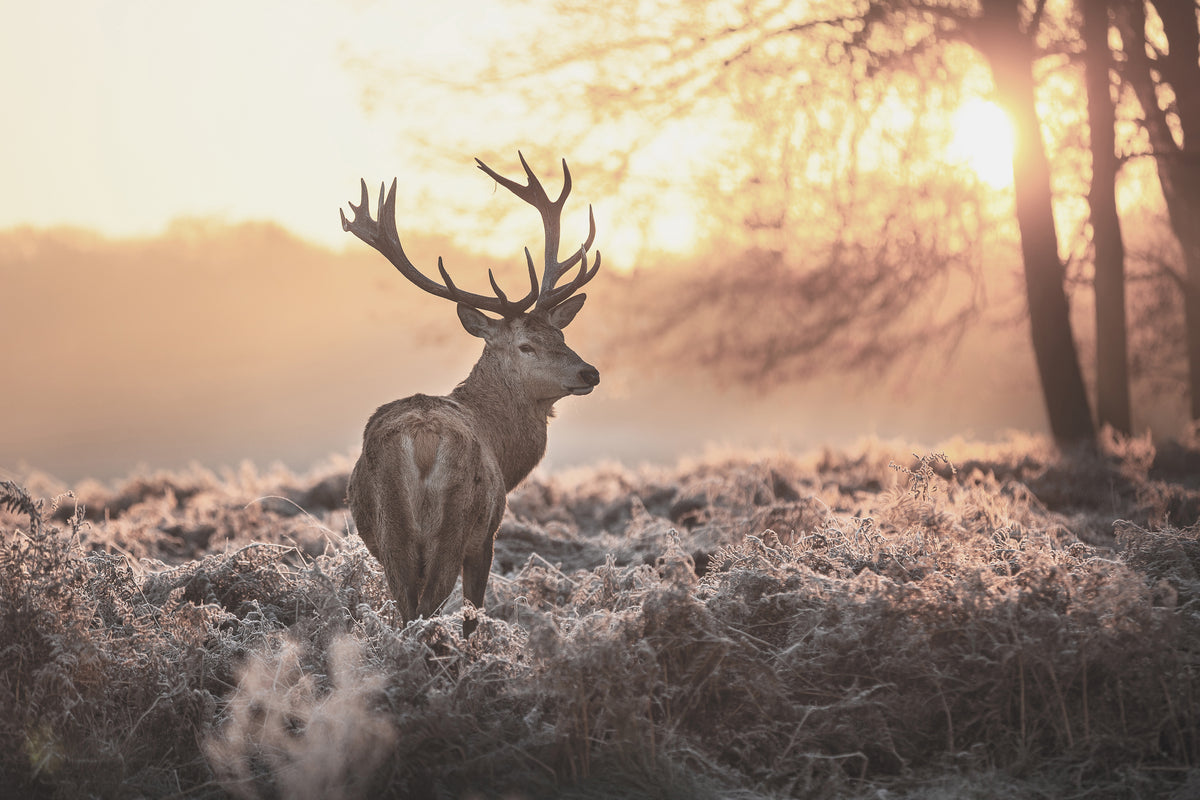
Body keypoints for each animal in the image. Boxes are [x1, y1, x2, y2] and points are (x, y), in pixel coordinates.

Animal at [339, 153, 600, 637]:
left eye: (560, 334)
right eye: (526, 345)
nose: (589, 371)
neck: (504, 447)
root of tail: (422, 441)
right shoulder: (488, 534)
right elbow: (473, 613)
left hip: (390, 531)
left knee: (406, 608)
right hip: (455, 523)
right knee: (429, 607)